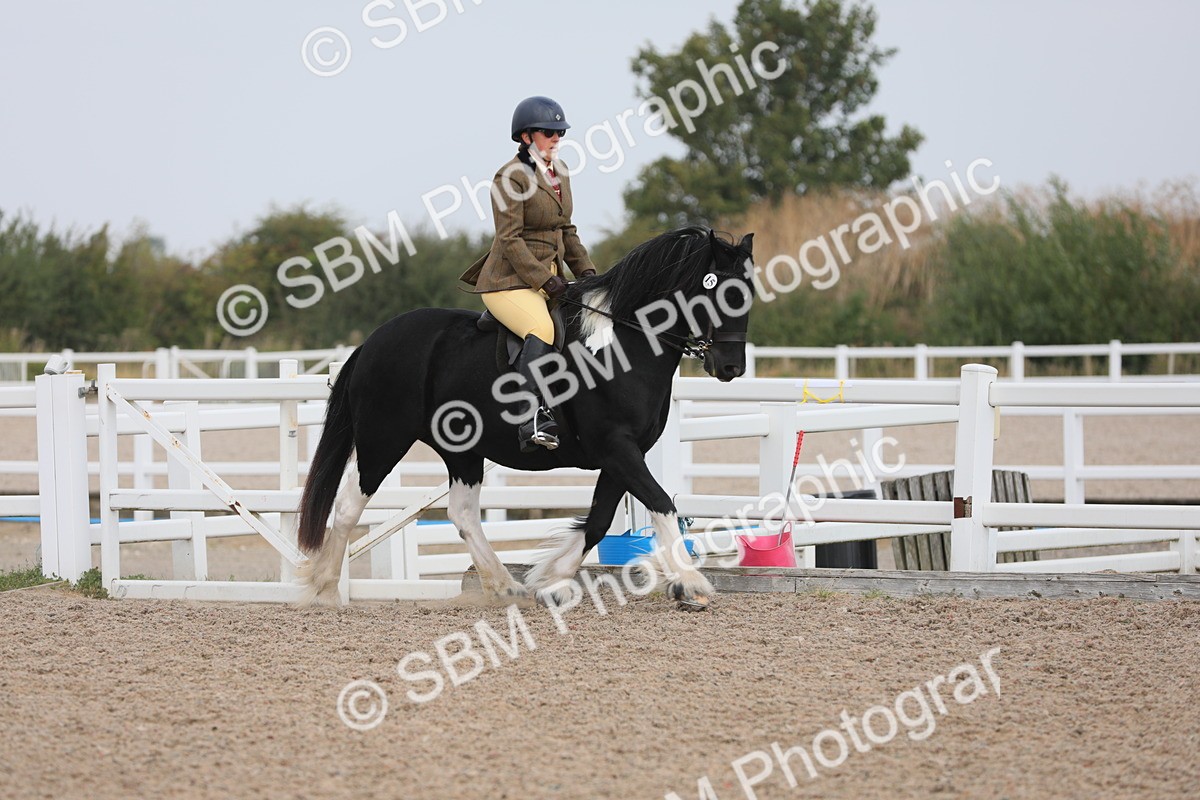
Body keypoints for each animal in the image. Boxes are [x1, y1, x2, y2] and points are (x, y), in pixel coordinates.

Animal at [296, 225, 756, 609]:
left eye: (747, 293)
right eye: (719, 293)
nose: (730, 367)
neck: (624, 345)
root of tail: (374, 340)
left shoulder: (622, 455)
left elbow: (599, 521)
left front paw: (552, 582)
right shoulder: (617, 448)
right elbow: (661, 504)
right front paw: (690, 583)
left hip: (461, 450)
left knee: (463, 513)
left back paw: (505, 587)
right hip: (383, 439)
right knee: (349, 505)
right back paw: (325, 590)